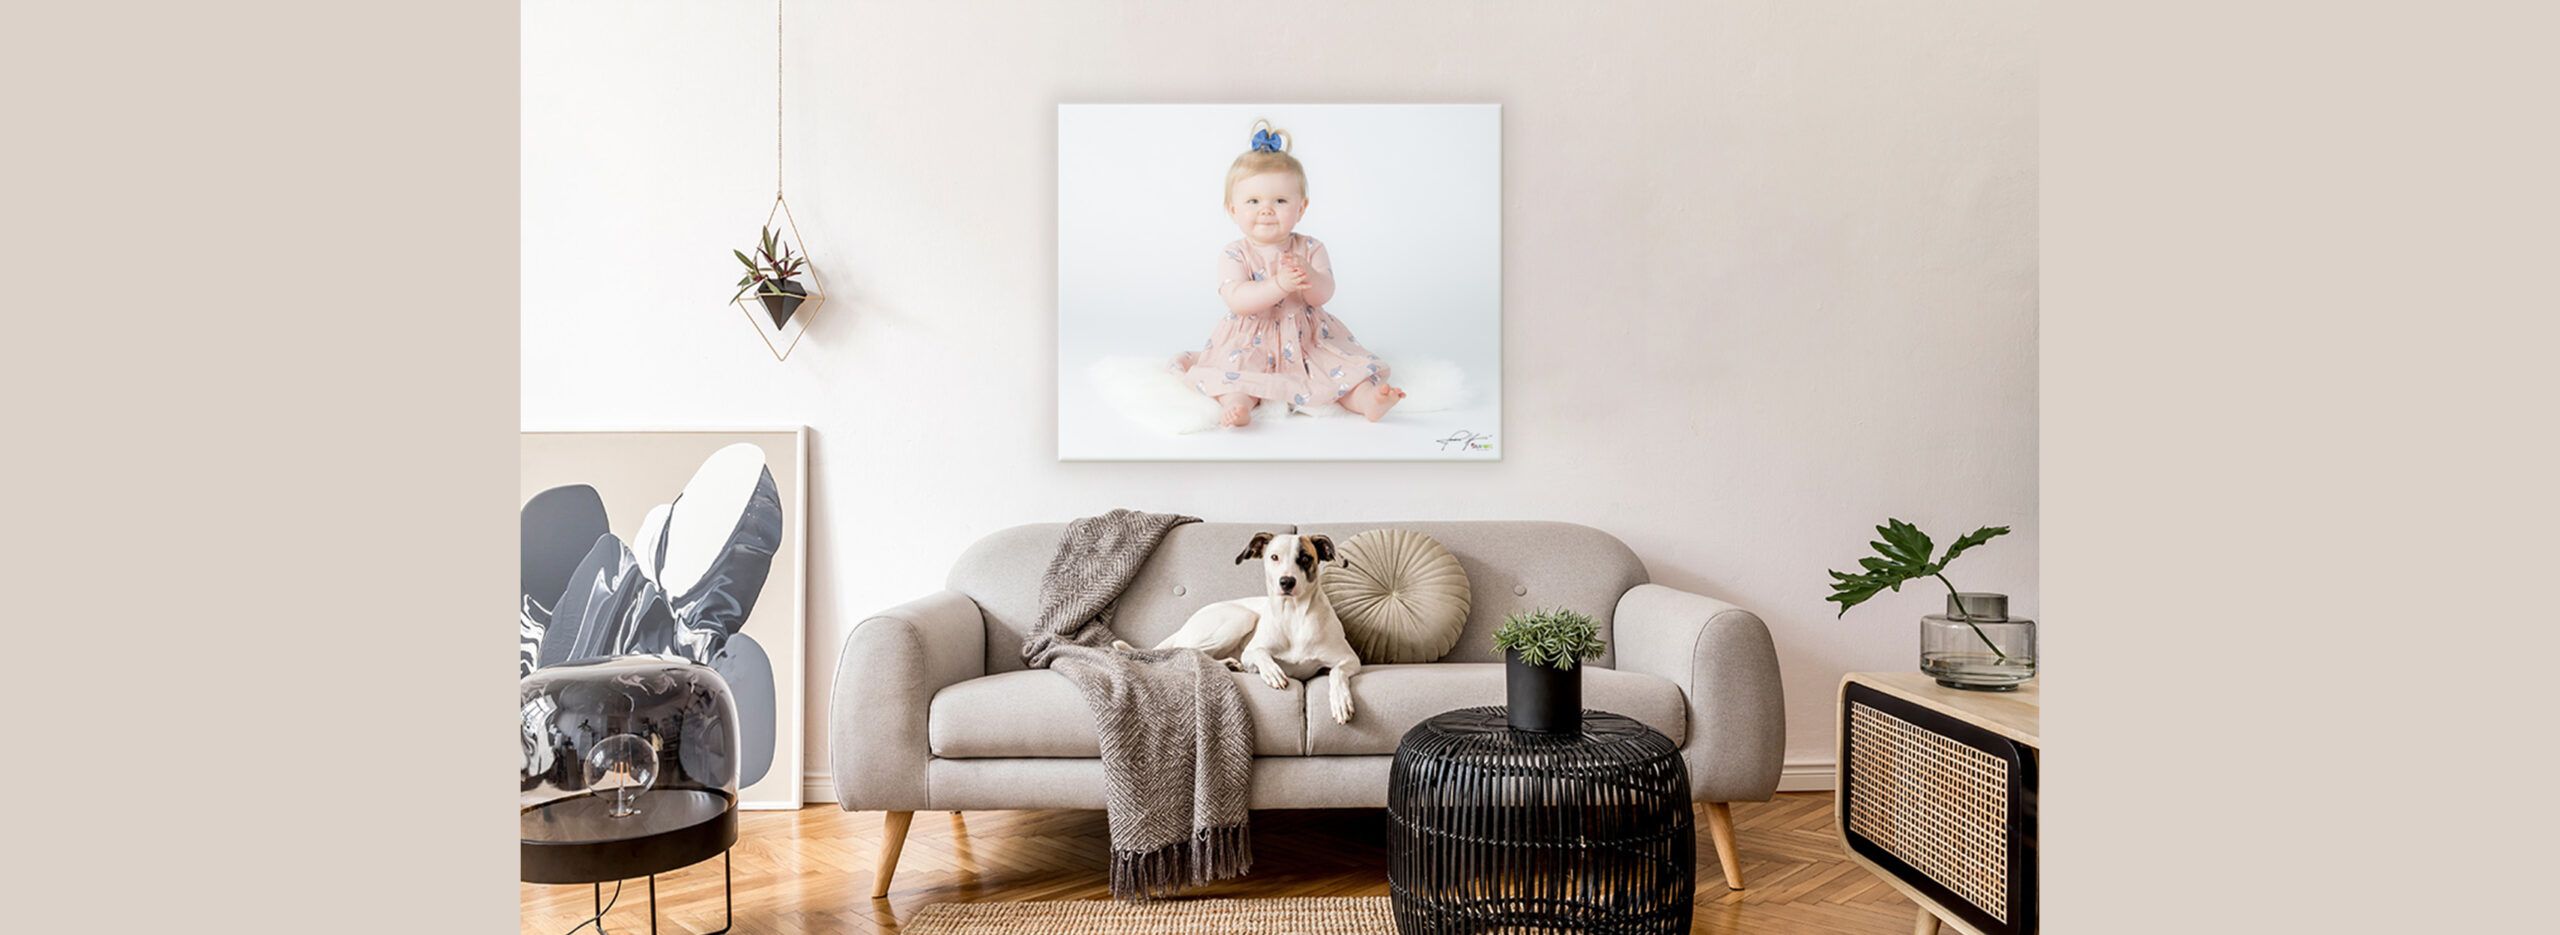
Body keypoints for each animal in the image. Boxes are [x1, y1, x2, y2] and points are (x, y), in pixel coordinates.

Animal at [1112, 531, 1365, 724]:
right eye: (1274, 557)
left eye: (1305, 558)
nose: (1286, 582)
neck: (1294, 615)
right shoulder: (1251, 652)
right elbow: (1261, 655)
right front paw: (1272, 672)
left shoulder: (1349, 659)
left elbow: (1337, 673)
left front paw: (1341, 701)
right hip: (1241, 617)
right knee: (1188, 651)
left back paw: (1230, 665)